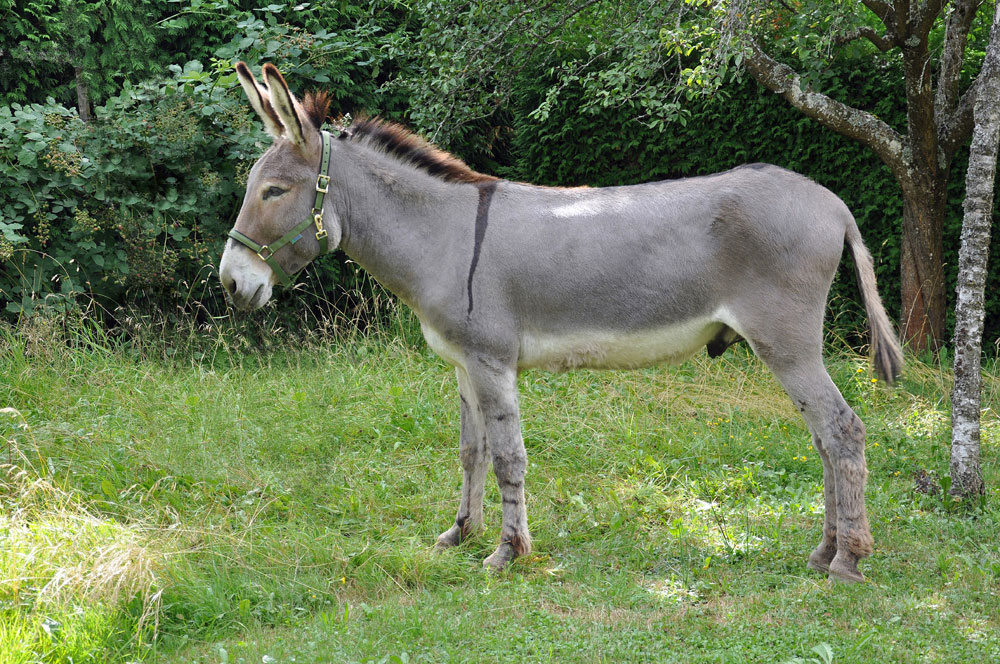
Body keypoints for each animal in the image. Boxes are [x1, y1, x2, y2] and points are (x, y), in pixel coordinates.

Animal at [219, 63, 903, 583]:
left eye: (275, 191)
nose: (230, 282)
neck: (441, 235)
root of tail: (832, 201)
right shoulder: (463, 363)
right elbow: (470, 450)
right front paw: (459, 533)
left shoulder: (492, 361)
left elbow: (508, 456)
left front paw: (506, 553)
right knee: (823, 438)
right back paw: (822, 551)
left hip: (786, 341)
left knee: (843, 431)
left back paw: (847, 560)